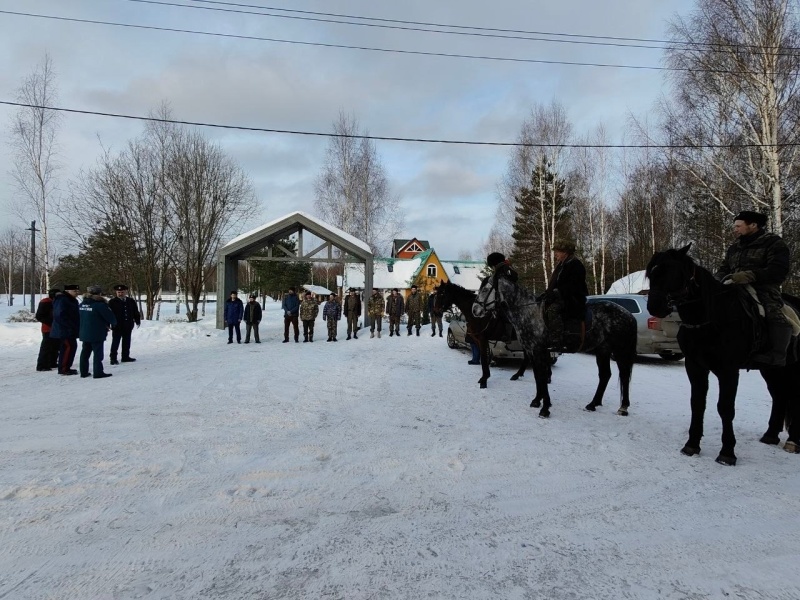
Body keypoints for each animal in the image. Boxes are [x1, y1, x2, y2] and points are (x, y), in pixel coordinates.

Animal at [476, 268, 636, 418]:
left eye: (484, 290)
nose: (475, 310)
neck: (529, 313)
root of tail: (628, 314)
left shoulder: (539, 351)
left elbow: (542, 377)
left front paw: (545, 408)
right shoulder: (533, 352)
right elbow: (537, 376)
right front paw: (537, 401)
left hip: (620, 351)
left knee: (624, 375)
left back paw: (623, 407)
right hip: (602, 350)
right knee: (605, 375)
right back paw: (593, 404)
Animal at [644, 244, 800, 464]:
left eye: (672, 271)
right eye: (652, 273)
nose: (654, 306)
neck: (714, 318)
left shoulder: (728, 371)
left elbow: (725, 408)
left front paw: (727, 452)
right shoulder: (695, 367)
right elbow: (697, 404)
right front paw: (692, 444)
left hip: (793, 368)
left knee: (793, 398)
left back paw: (793, 441)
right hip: (772, 369)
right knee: (779, 395)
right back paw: (770, 435)